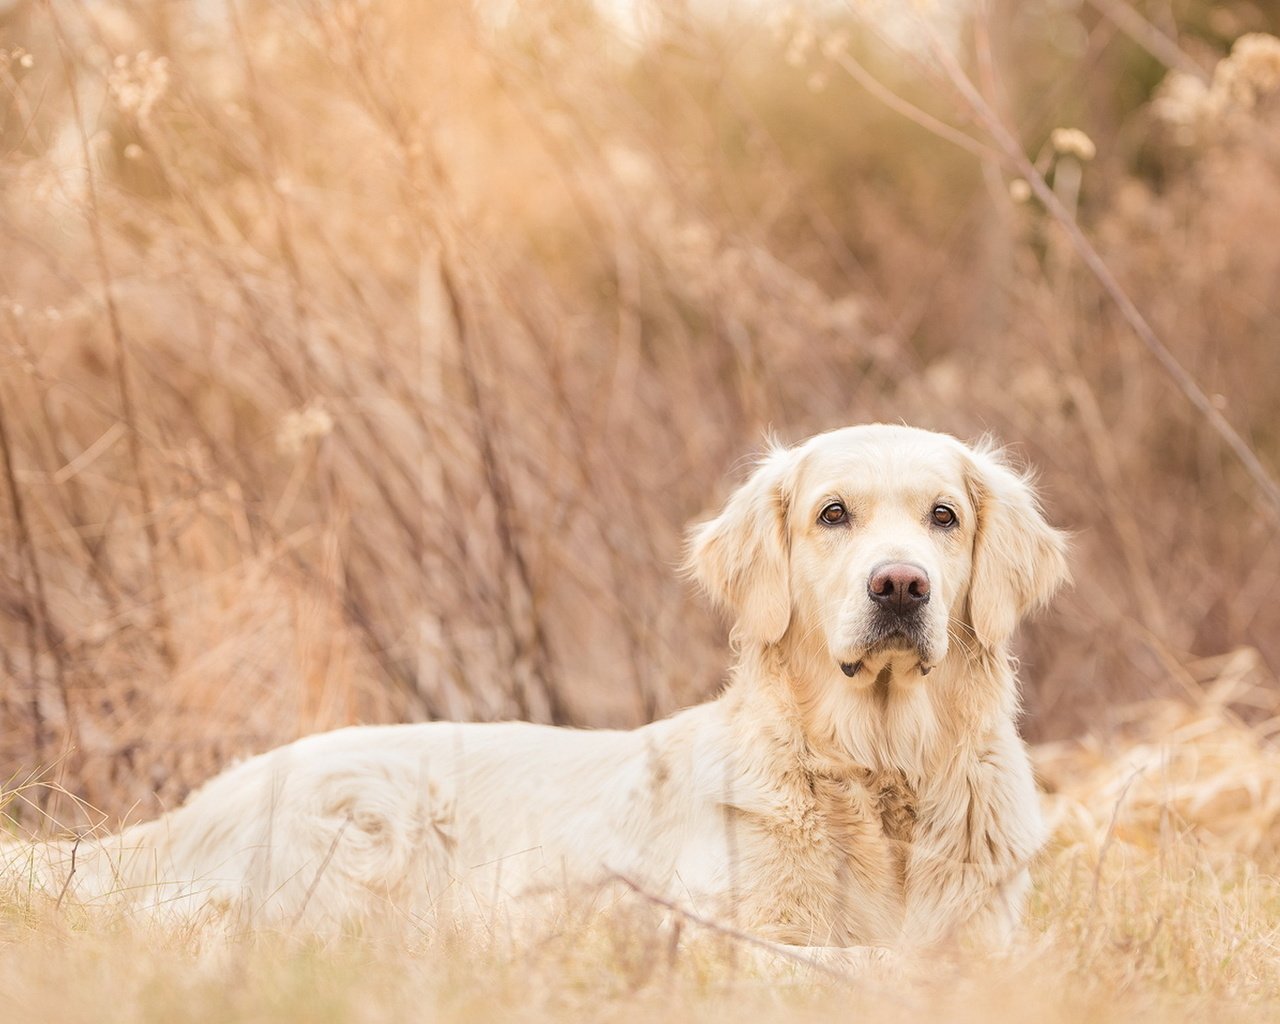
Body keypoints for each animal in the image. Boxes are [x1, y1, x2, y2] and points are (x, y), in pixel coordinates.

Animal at [2, 419, 1059, 957]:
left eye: (944, 517)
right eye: (834, 515)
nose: (901, 586)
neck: (880, 771)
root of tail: (193, 809)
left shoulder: (987, 940)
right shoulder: (747, 934)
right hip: (364, 824)